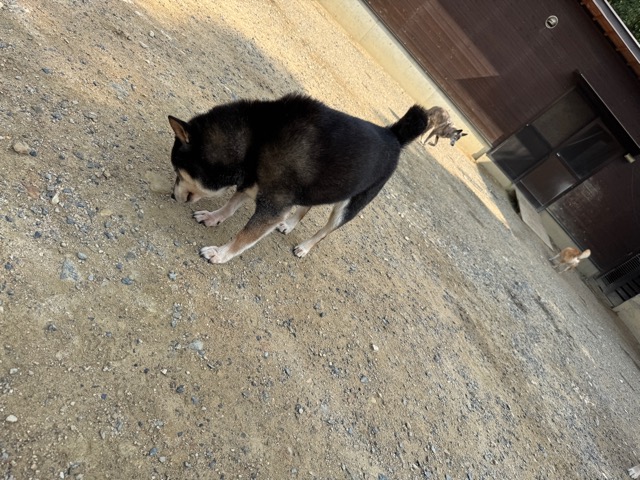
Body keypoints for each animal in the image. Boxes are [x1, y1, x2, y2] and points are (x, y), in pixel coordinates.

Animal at [168, 94, 428, 263]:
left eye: (178, 172)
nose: (171, 195)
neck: (258, 138)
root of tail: (393, 135)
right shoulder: (252, 182)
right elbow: (230, 206)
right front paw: (214, 217)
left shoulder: (272, 206)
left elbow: (244, 236)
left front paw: (220, 253)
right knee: (307, 206)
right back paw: (290, 224)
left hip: (348, 206)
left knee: (325, 231)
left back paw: (305, 247)